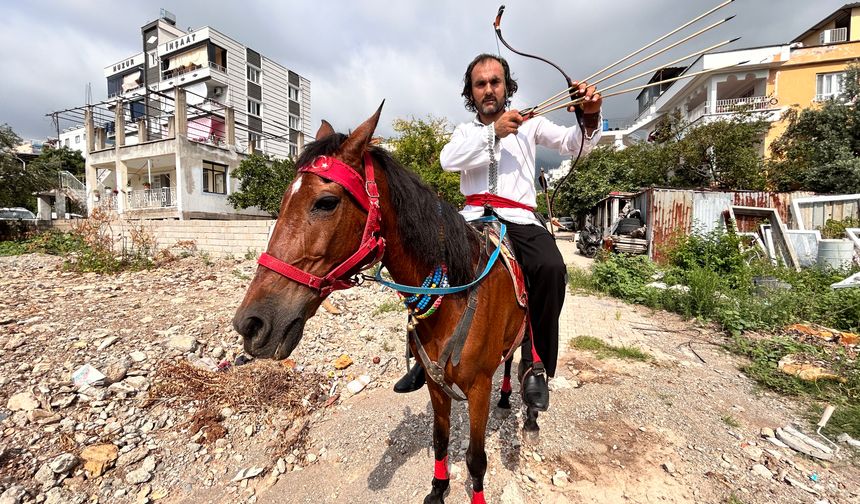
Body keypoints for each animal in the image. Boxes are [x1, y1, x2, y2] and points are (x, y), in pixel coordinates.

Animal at [232, 104, 536, 502]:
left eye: (326, 202)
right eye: (282, 203)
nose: (251, 324)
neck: (456, 295)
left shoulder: (479, 389)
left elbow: (475, 459)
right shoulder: (436, 385)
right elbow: (439, 439)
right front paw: (438, 488)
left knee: (520, 354)